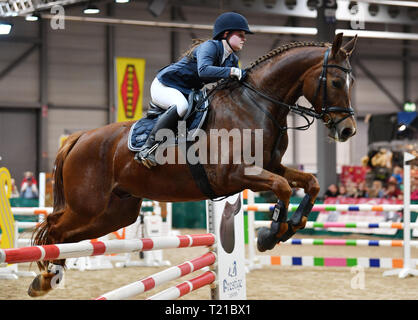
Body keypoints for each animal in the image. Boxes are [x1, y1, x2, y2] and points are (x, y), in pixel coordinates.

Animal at [28, 33, 356, 298]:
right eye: (336, 81)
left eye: (352, 82)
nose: (348, 131)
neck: (256, 105)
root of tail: (79, 137)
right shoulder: (236, 175)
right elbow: (284, 188)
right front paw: (271, 233)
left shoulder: (270, 166)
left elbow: (309, 183)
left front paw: (290, 226)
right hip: (89, 205)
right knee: (53, 229)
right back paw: (44, 278)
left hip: (115, 212)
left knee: (68, 236)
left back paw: (47, 278)